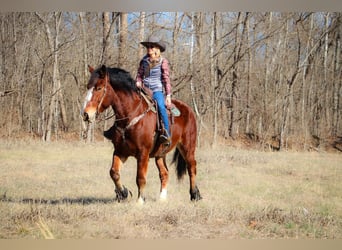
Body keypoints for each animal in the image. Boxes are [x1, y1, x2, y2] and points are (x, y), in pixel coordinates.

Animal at [82, 64, 202, 203]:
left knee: (191, 168)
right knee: (164, 173)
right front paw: (123, 193)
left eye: (99, 88)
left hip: (187, 147)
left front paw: (140, 200)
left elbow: (140, 177)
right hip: (160, 154)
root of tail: (188, 110)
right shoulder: (120, 152)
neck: (132, 115)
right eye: (88, 87)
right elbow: (114, 172)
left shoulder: (143, 153)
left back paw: (195, 195)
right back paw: (162, 198)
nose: (86, 114)